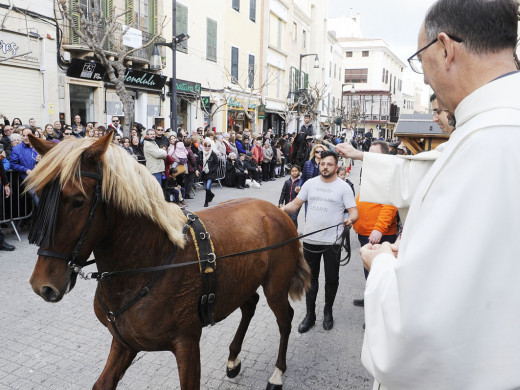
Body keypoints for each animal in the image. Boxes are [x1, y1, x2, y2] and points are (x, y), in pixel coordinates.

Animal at [25, 133, 308, 388]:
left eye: (78, 201)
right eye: (40, 195)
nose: (43, 285)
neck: (150, 261)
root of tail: (278, 212)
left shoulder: (187, 343)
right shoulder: (124, 343)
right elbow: (102, 383)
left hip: (275, 288)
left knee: (285, 319)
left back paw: (277, 372)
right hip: (242, 282)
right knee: (250, 305)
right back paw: (233, 359)